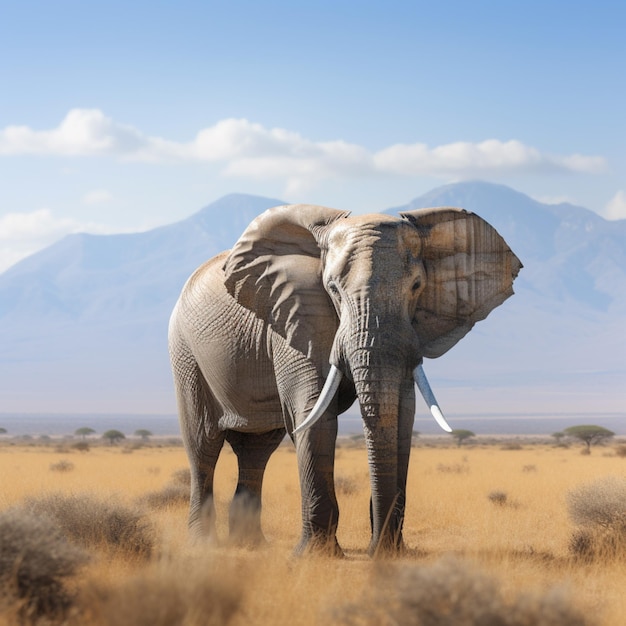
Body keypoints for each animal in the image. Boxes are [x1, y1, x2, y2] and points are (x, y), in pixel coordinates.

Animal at [168, 202, 520, 552]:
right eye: (333, 290)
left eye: (417, 287)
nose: (376, 546)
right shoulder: (296, 318)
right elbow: (313, 413)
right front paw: (316, 555)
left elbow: (403, 413)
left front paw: (388, 551)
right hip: (185, 354)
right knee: (203, 445)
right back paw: (203, 545)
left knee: (256, 449)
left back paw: (252, 546)